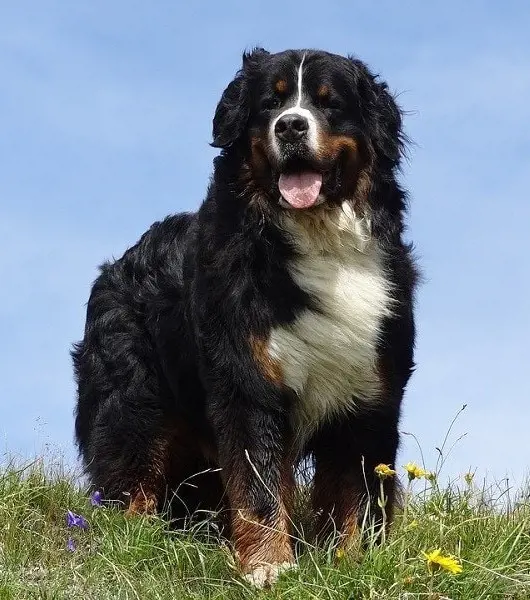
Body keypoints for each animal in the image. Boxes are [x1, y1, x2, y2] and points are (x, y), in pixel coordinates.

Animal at [72, 48, 416, 584]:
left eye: (330, 102)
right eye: (269, 103)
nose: (290, 126)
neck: (320, 243)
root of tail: (115, 266)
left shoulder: (371, 394)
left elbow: (358, 495)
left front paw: (355, 563)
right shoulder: (247, 382)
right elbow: (258, 487)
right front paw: (269, 566)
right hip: (133, 403)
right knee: (132, 476)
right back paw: (136, 540)